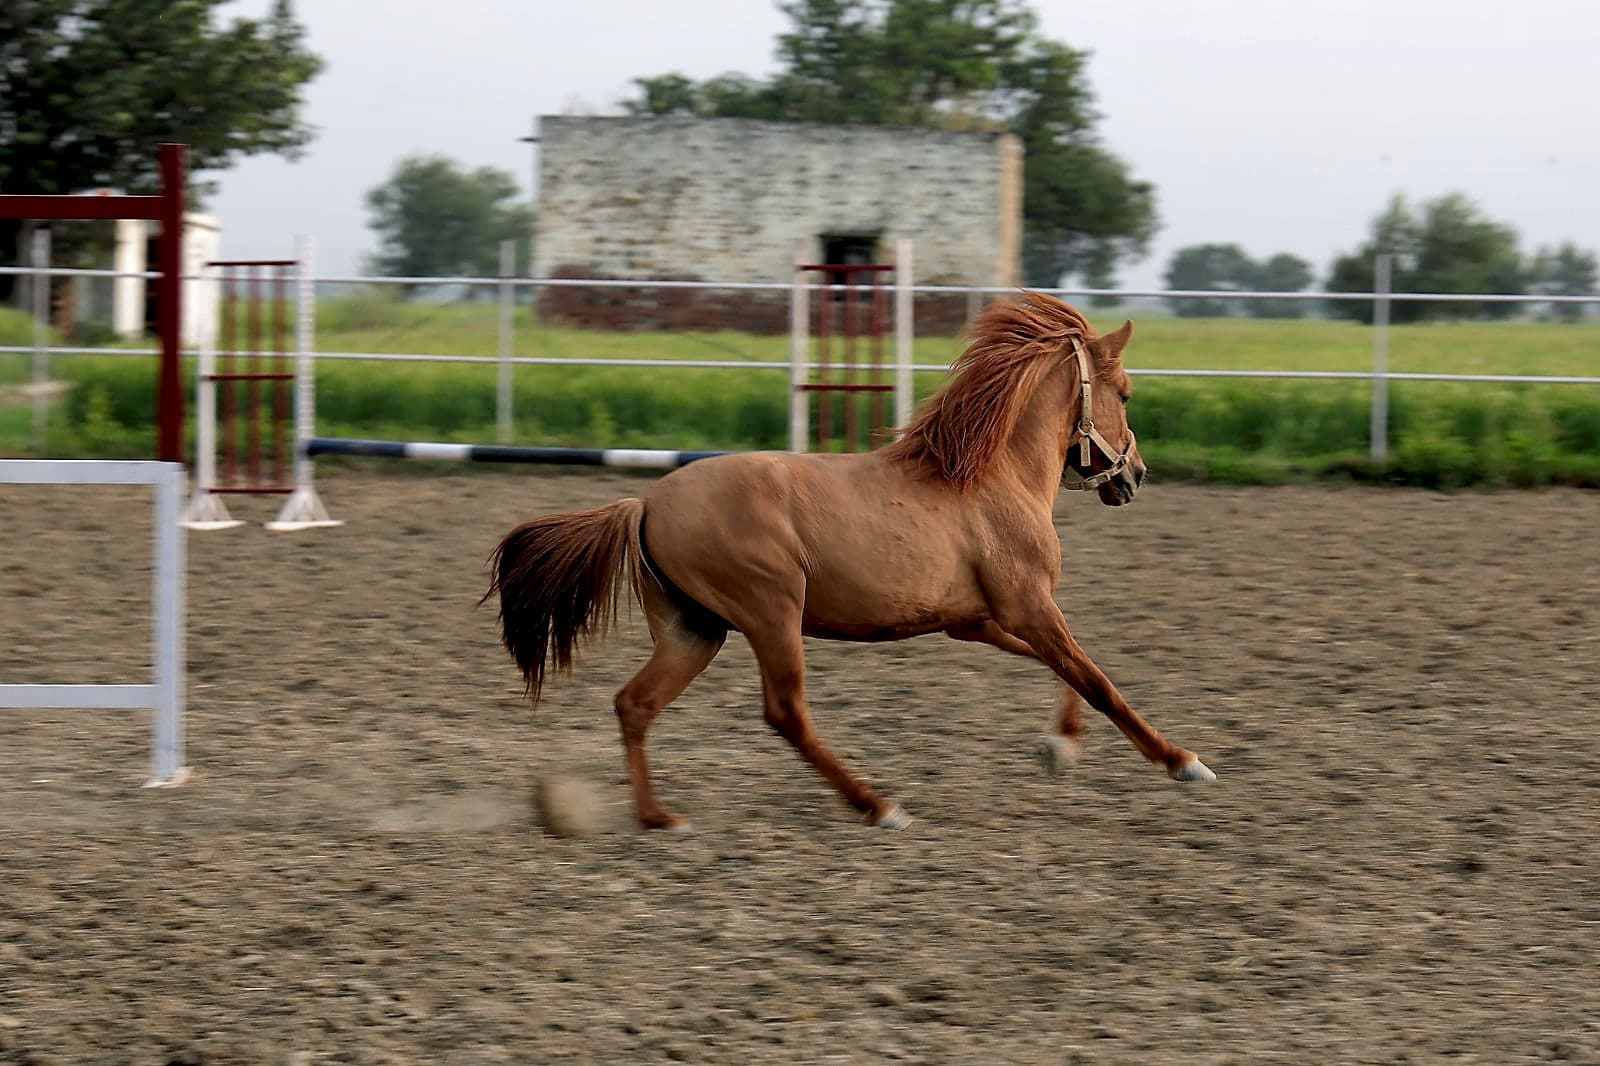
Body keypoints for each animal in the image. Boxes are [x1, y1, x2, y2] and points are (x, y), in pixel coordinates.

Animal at [485, 292, 1214, 831]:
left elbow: (1067, 672)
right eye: (1125, 393)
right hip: (770, 614)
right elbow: (1097, 680)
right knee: (785, 714)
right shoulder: (1028, 606)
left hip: (695, 631)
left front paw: (1060, 749)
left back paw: (660, 818)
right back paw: (879, 806)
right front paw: (1182, 762)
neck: (987, 478)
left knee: (635, 704)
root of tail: (645, 502)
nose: (1136, 476)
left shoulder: (980, 619)